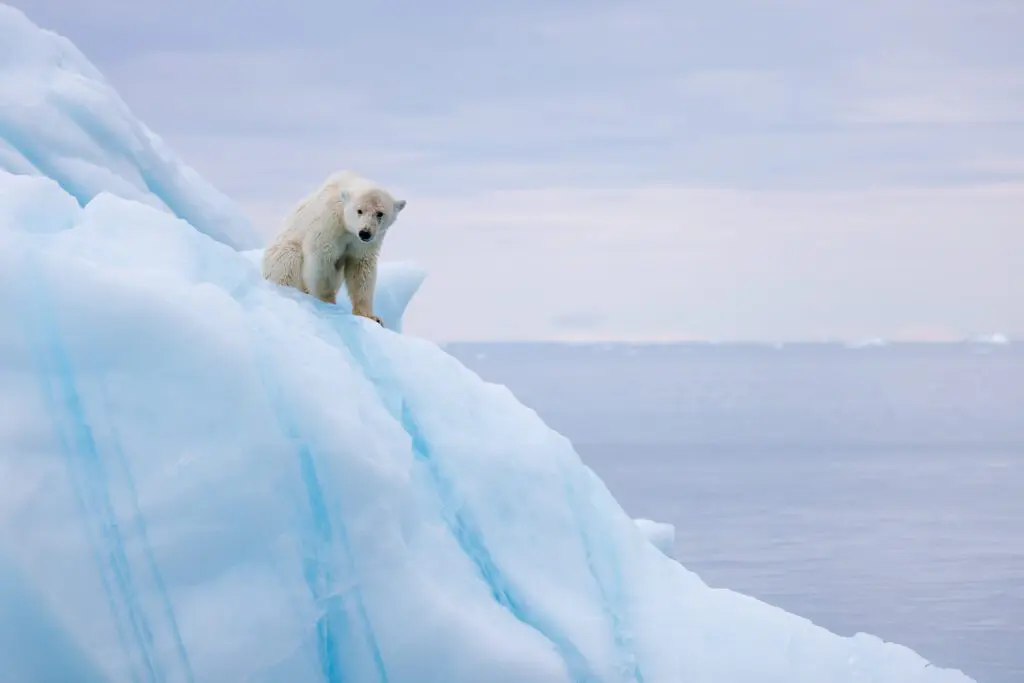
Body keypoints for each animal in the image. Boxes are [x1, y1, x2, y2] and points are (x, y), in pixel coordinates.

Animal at [261, 170, 407, 325]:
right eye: (359, 210)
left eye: (380, 213)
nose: (365, 232)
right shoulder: (329, 223)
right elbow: (322, 260)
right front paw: (327, 302)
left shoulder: (364, 242)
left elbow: (360, 267)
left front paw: (370, 316)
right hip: (280, 253)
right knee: (288, 260)